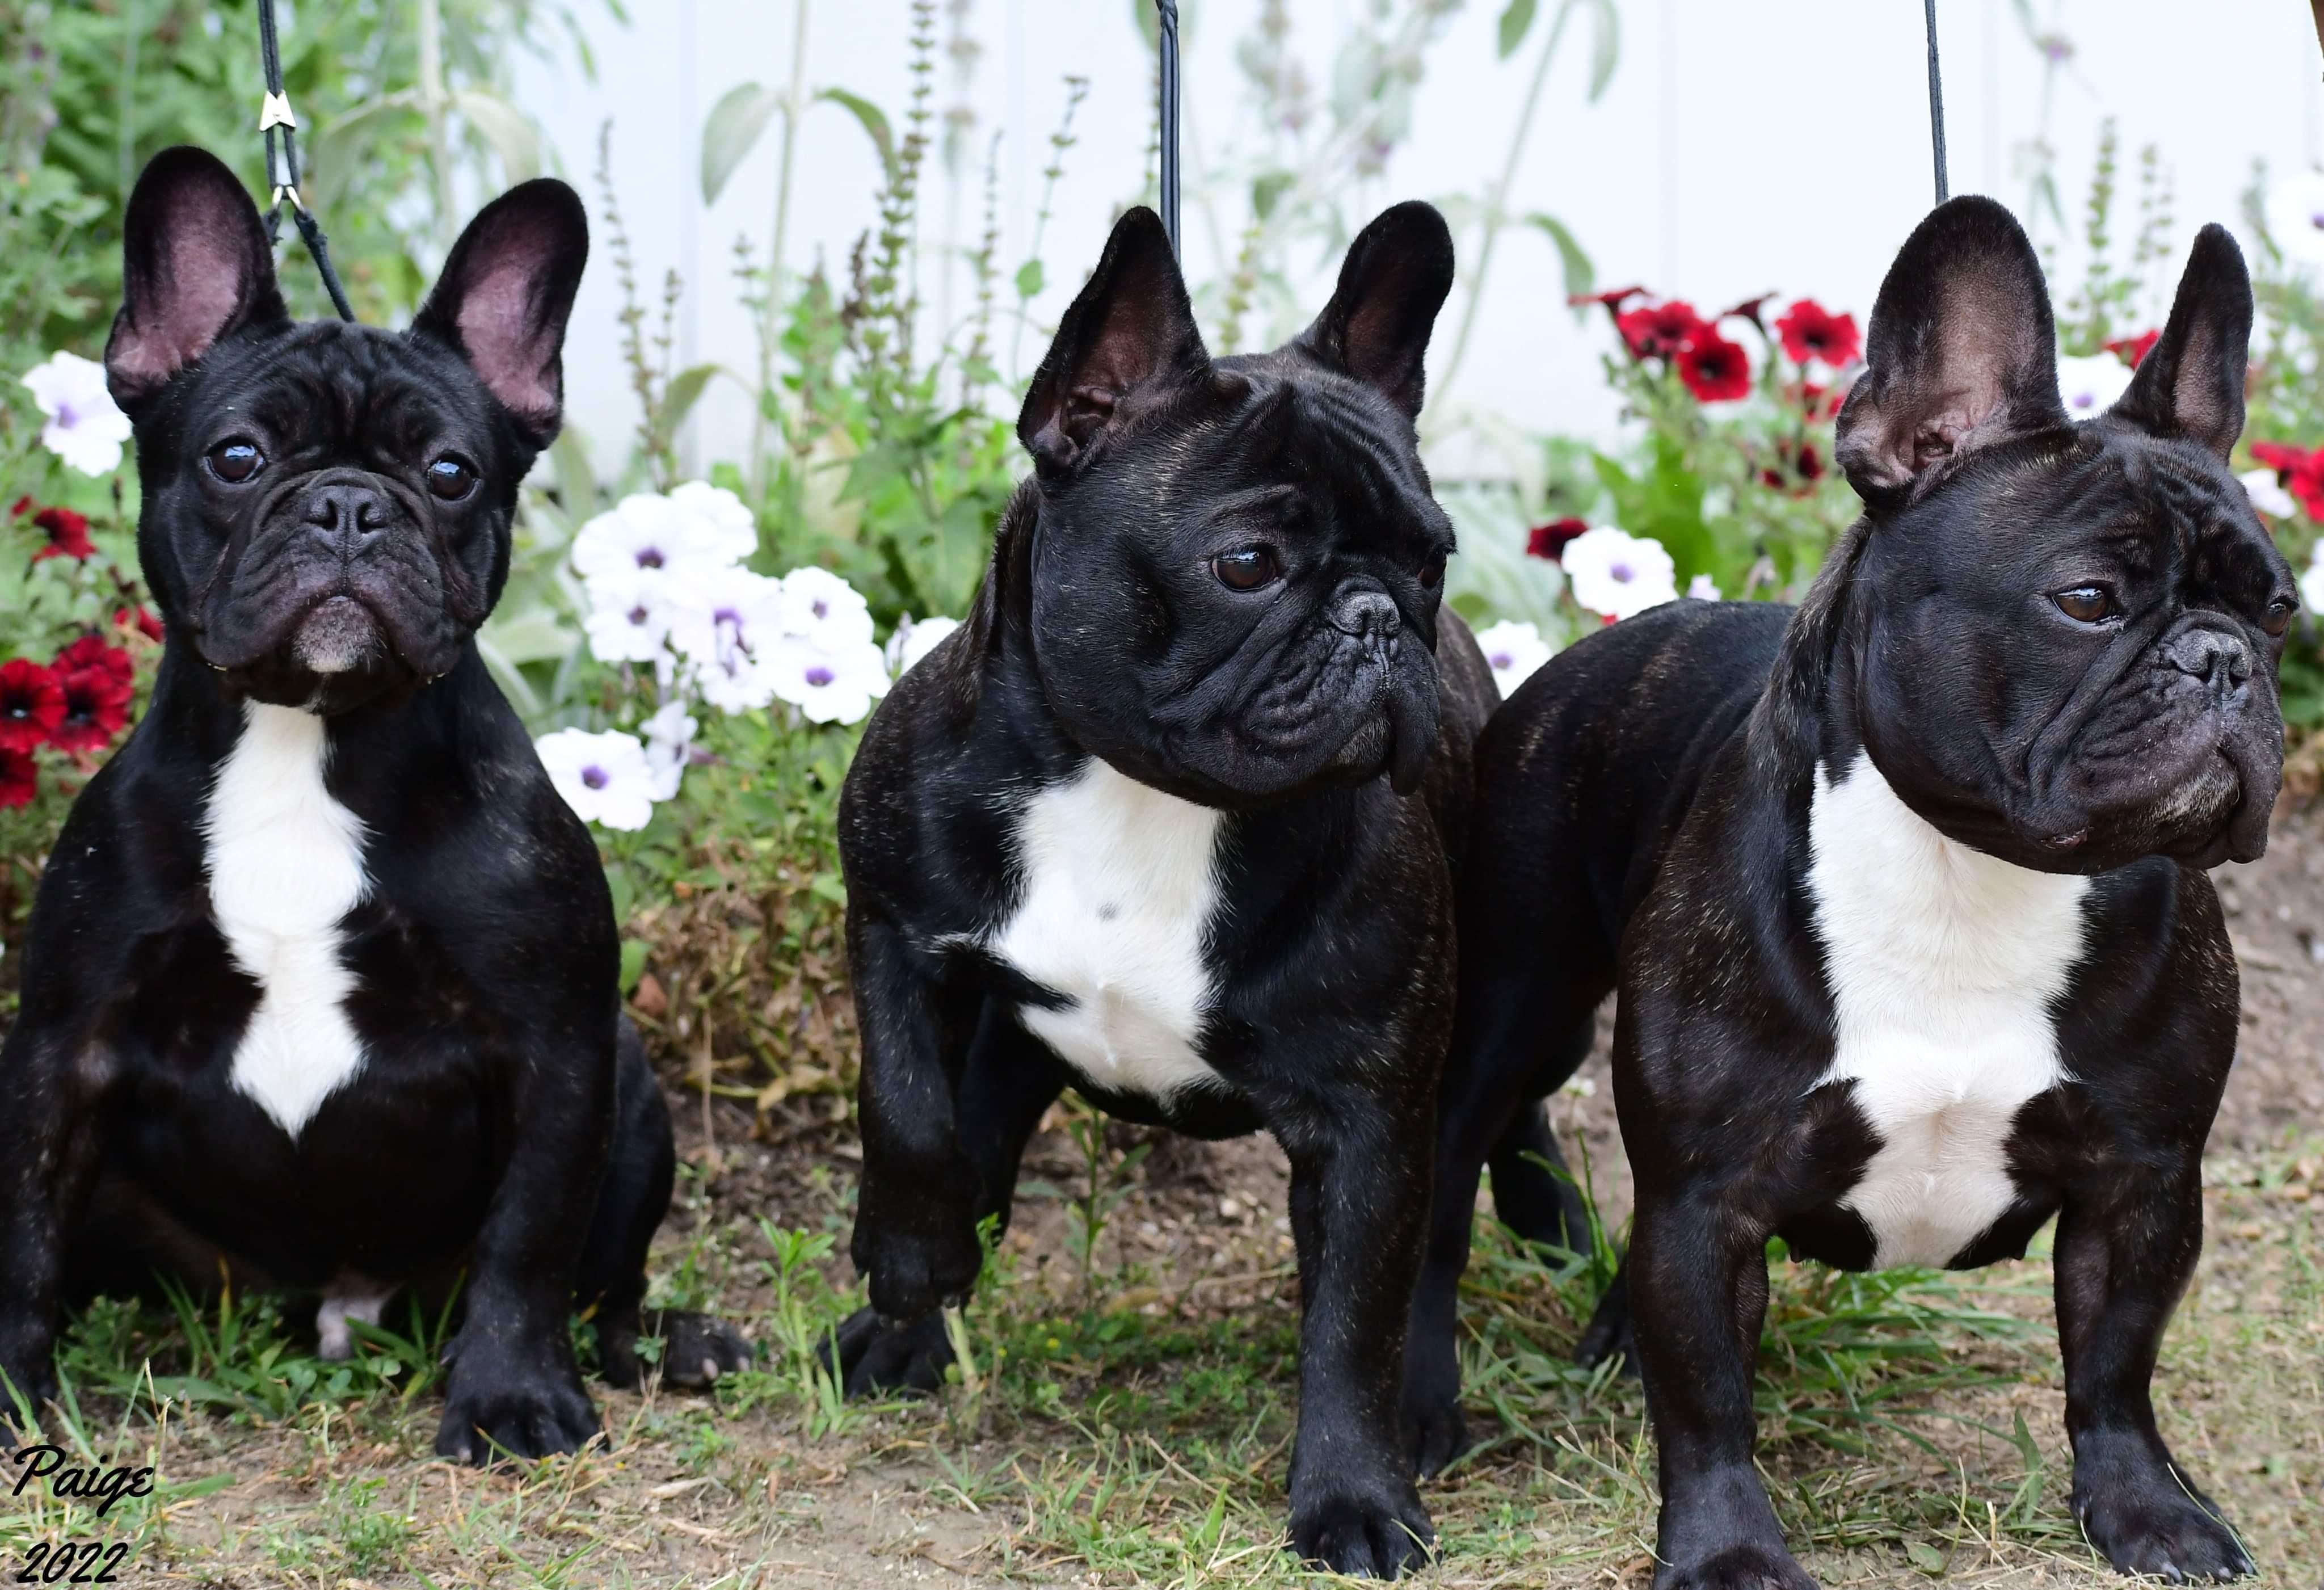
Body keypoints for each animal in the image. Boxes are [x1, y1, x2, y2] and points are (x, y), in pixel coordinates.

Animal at [0, 147, 748, 1463]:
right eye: (237, 458)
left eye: (451, 474)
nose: (350, 504)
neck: (307, 735)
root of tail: (339, 1303)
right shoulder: (62, 1046)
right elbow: (29, 1231)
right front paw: (15, 1389)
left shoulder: (557, 1052)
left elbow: (529, 1241)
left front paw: (512, 1395)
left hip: (636, 1088)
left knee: (602, 1281)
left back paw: (668, 1342)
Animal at [831, 200, 1493, 1578]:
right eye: (1246, 563)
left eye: (1432, 560)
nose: (1378, 617)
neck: (1146, 797)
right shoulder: (891, 922)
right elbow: (905, 1107)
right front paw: (909, 1261)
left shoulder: (1370, 1115)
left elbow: (1354, 1313)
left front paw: (1355, 1496)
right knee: (972, 1124)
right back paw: (906, 1326)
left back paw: (1427, 1403)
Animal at [1404, 196, 2288, 1587]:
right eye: (2087, 601)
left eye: (2280, 611)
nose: (2225, 663)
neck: (1974, 873)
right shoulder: (1708, 1189)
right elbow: (1708, 1397)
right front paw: (1725, 1551)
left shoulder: (2143, 1180)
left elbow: (2114, 1364)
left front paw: (2147, 1512)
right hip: (1511, 1007)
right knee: (1445, 1202)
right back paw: (1428, 1405)